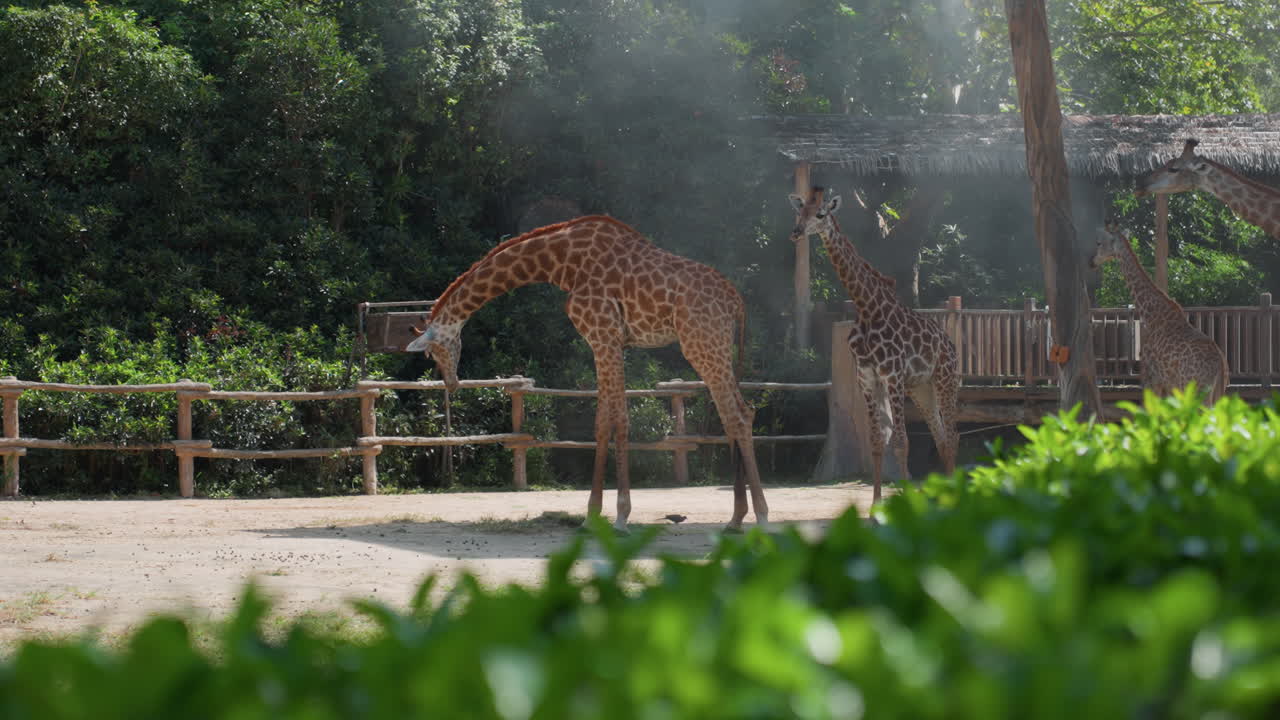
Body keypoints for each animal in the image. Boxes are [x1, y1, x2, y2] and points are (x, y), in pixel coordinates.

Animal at [405, 215, 768, 533]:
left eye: (433, 351)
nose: (451, 382)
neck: (563, 263)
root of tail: (737, 302)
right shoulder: (603, 340)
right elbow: (602, 422)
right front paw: (591, 516)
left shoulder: (604, 334)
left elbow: (620, 420)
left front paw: (621, 517)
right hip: (715, 346)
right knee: (742, 413)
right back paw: (737, 518)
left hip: (700, 343)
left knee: (736, 416)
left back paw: (759, 518)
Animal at [788, 189, 958, 504]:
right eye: (799, 211)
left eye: (820, 214)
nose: (796, 233)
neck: (866, 307)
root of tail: (951, 345)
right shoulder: (867, 377)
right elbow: (877, 441)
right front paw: (874, 507)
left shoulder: (893, 376)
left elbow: (901, 442)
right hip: (921, 388)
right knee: (941, 436)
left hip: (945, 379)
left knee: (952, 436)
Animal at [1089, 222, 1228, 405]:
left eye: (1099, 243)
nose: (1091, 262)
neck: (1151, 315)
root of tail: (1221, 366)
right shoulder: (1167, 384)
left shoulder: (1151, 377)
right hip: (1218, 393)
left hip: (1195, 391)